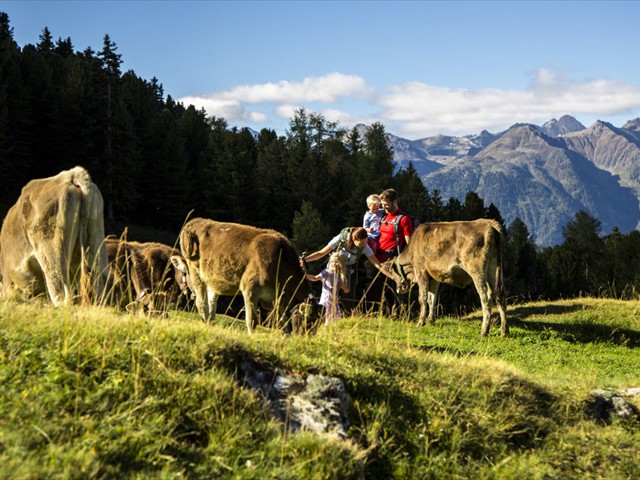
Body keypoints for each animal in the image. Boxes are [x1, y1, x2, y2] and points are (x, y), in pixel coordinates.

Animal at [172, 218, 318, 334]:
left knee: (211, 305)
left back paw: (210, 325)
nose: (307, 339)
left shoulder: (280, 299)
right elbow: (252, 321)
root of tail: (195, 221)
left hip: (212, 280)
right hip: (196, 273)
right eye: (309, 321)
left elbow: (284, 325)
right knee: (201, 303)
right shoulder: (250, 288)